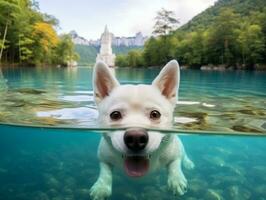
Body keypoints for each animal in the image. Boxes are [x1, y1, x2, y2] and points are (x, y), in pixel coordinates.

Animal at [90, 60, 194, 199]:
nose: (136, 138)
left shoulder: (174, 153)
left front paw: (176, 180)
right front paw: (101, 187)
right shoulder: (104, 157)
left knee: (184, 154)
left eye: (155, 114)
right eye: (115, 115)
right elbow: (105, 171)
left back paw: (188, 163)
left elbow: (175, 164)